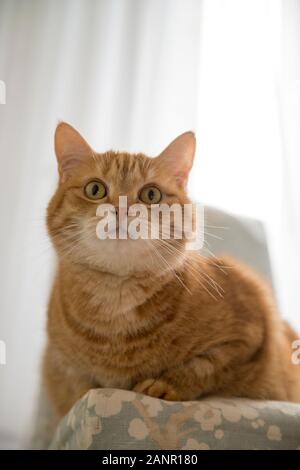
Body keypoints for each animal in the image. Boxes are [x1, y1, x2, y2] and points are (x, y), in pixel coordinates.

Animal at [42, 121, 300, 414]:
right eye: (94, 189)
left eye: (151, 194)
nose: (122, 210)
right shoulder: (59, 363)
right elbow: (79, 387)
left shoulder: (249, 329)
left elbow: (205, 365)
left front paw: (166, 385)